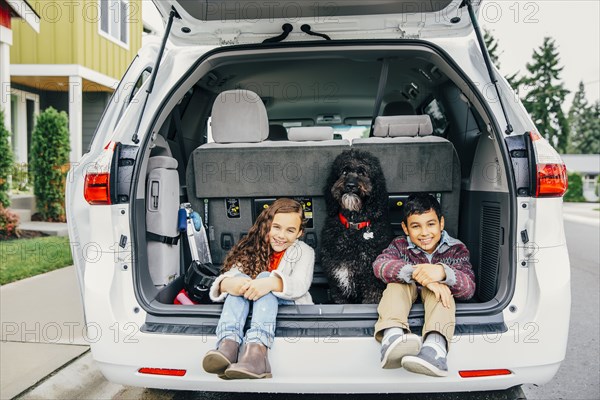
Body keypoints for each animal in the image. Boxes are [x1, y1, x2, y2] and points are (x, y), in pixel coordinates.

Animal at [322, 149, 396, 304]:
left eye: (362, 172)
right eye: (344, 171)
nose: (350, 185)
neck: (353, 225)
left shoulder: (372, 285)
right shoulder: (339, 284)